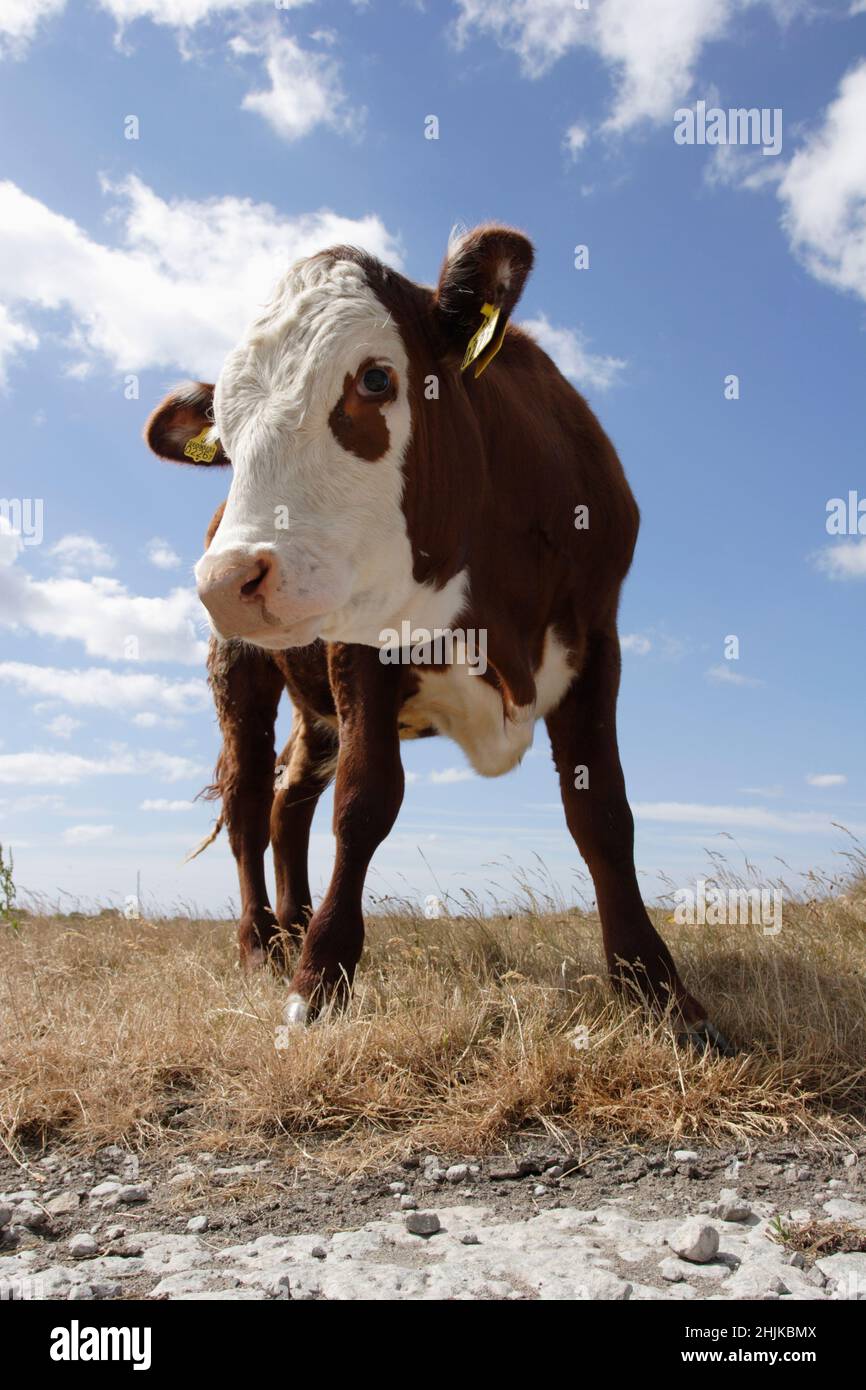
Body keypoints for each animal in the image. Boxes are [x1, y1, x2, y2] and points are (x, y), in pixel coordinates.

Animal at [145, 224, 731, 1052]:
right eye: (224, 429)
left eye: (376, 379)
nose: (229, 580)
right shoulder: (359, 643)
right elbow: (364, 801)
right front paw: (318, 983)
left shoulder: (599, 637)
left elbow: (604, 813)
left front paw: (659, 991)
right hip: (242, 669)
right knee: (250, 799)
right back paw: (262, 944)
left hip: (311, 707)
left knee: (289, 801)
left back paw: (293, 925)